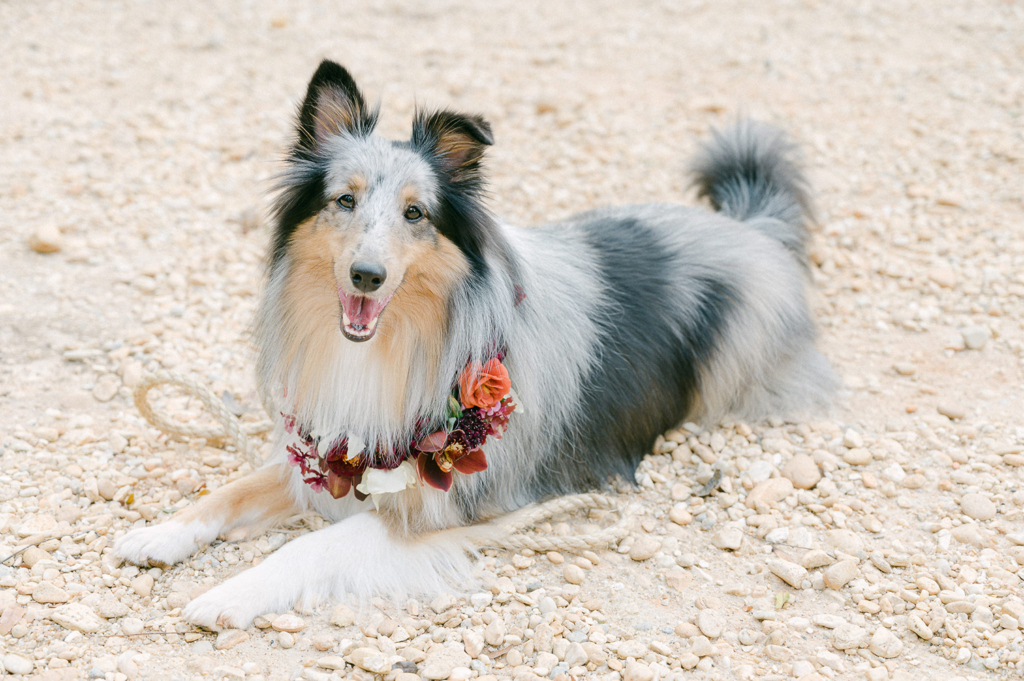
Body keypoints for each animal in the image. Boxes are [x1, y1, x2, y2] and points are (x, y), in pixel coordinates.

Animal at [114, 59, 831, 626]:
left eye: (415, 213)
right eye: (344, 200)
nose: (366, 275)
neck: (397, 341)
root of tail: (752, 229)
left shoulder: (436, 508)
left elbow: (309, 546)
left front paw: (228, 594)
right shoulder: (333, 440)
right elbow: (233, 488)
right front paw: (158, 533)